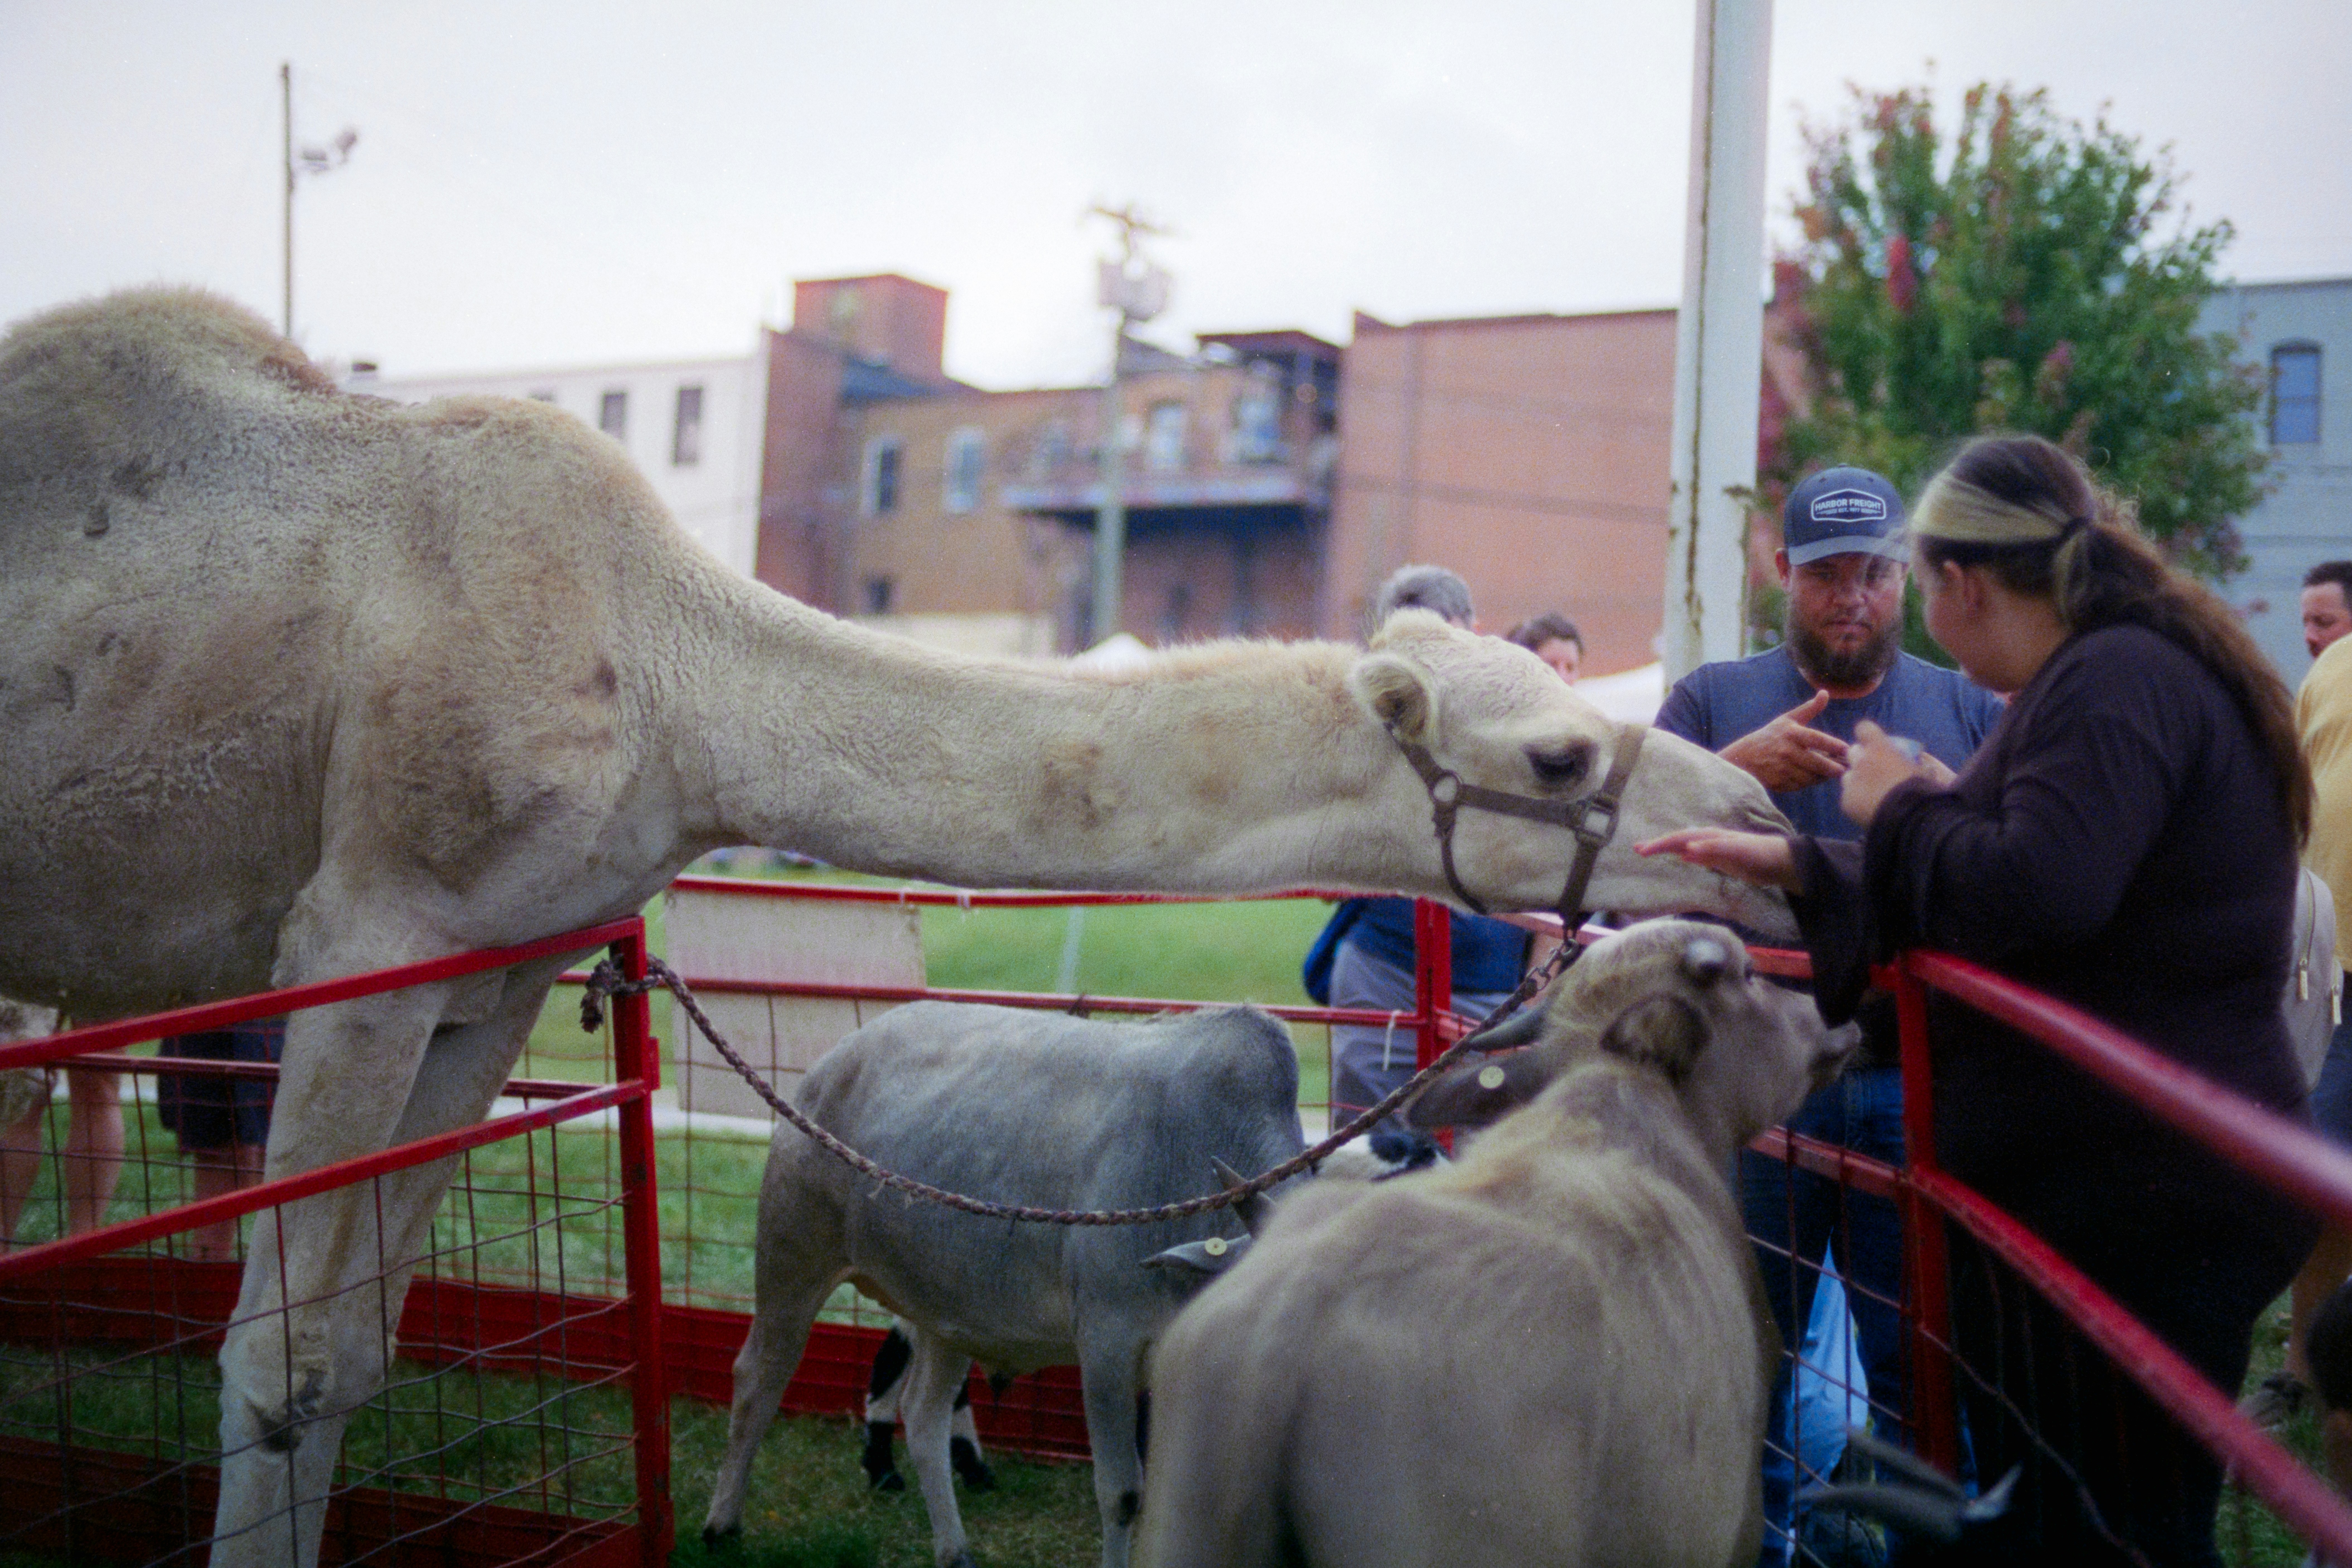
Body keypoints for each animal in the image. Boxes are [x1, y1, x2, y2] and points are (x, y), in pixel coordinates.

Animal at [0, 286, 1795, 1568]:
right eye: (1557, 750)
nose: (1768, 826)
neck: (678, 688)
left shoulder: (494, 969)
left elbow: (356, 1353)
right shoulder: (368, 931)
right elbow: (280, 1362)